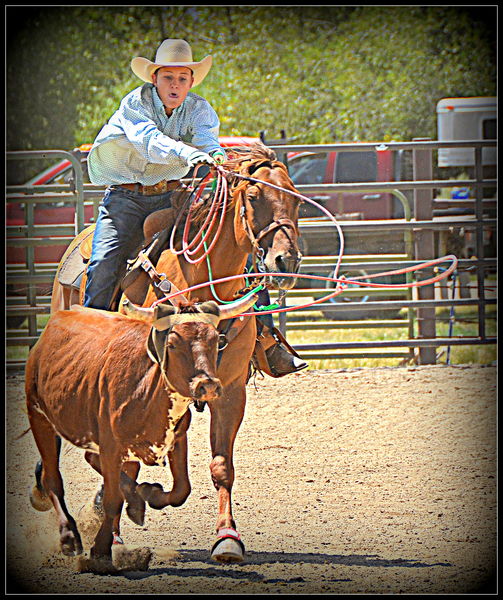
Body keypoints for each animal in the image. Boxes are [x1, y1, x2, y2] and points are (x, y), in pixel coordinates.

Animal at [24, 296, 256, 568]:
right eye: (172, 344)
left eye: (216, 340)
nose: (207, 385)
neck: (147, 388)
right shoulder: (111, 446)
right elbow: (113, 499)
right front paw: (101, 550)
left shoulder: (177, 438)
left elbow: (181, 489)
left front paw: (148, 493)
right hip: (39, 417)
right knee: (53, 478)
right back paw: (69, 537)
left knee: (94, 462)